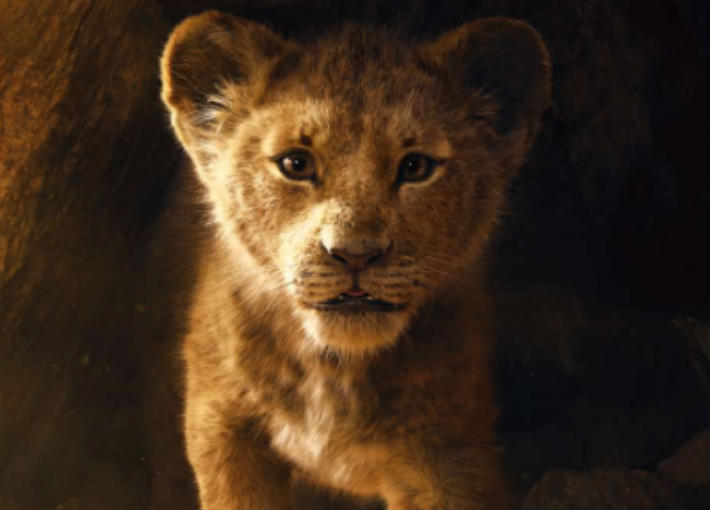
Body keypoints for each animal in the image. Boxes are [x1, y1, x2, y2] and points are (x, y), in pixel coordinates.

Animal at [160, 11, 550, 509]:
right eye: (296, 164)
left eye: (416, 167)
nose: (355, 253)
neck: (335, 371)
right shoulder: (223, 428)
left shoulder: (450, 453)